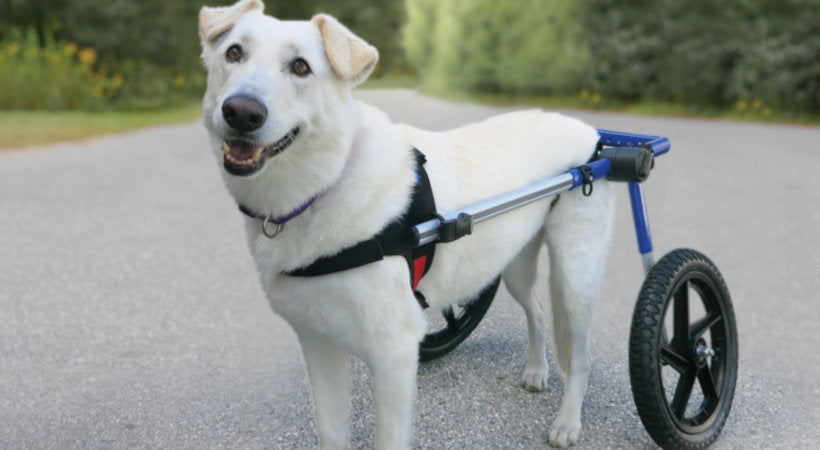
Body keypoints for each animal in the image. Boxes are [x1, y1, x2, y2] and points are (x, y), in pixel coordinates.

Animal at [199, 1, 616, 448]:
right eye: (234, 53)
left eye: (300, 67)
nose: (242, 112)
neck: (327, 182)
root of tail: (587, 130)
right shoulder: (319, 343)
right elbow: (331, 431)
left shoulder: (394, 354)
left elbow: (389, 436)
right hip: (514, 264)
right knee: (536, 310)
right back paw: (537, 371)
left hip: (575, 278)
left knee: (582, 357)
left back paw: (568, 422)